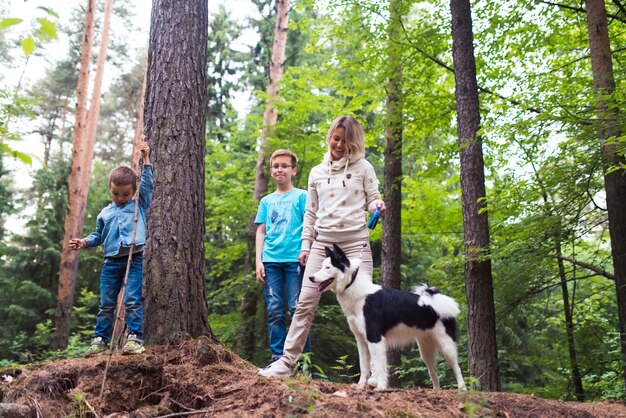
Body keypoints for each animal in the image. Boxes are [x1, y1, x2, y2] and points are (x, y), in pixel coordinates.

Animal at [308, 243, 464, 390]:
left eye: (327, 267)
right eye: (321, 266)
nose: (310, 277)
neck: (357, 292)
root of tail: (435, 300)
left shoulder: (375, 338)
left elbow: (379, 366)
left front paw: (381, 386)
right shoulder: (361, 340)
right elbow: (364, 367)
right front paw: (360, 386)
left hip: (446, 345)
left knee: (457, 368)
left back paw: (462, 389)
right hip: (426, 349)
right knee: (433, 372)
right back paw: (436, 391)